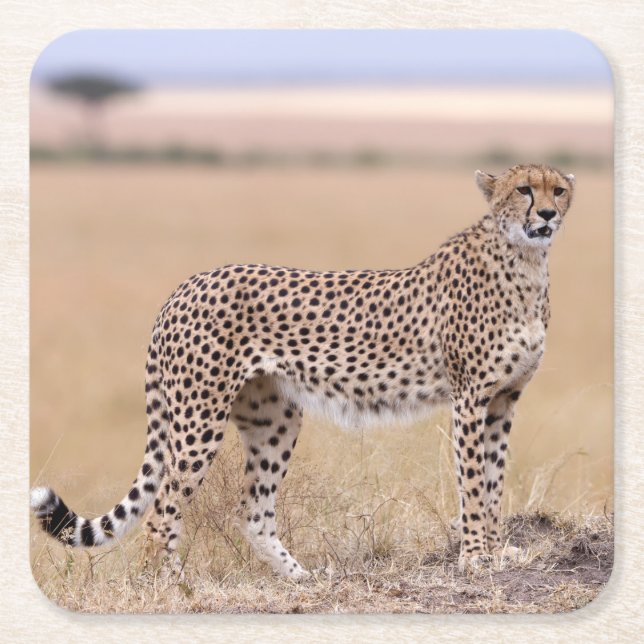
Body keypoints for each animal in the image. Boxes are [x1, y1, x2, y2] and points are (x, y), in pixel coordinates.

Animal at [31, 163, 575, 575]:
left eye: (559, 190)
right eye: (524, 189)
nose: (547, 214)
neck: (525, 262)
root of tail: (186, 285)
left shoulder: (503, 400)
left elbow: (495, 479)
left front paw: (498, 551)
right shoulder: (469, 400)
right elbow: (474, 483)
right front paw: (476, 558)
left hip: (274, 417)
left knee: (251, 510)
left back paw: (299, 577)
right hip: (198, 418)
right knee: (162, 508)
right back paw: (165, 585)